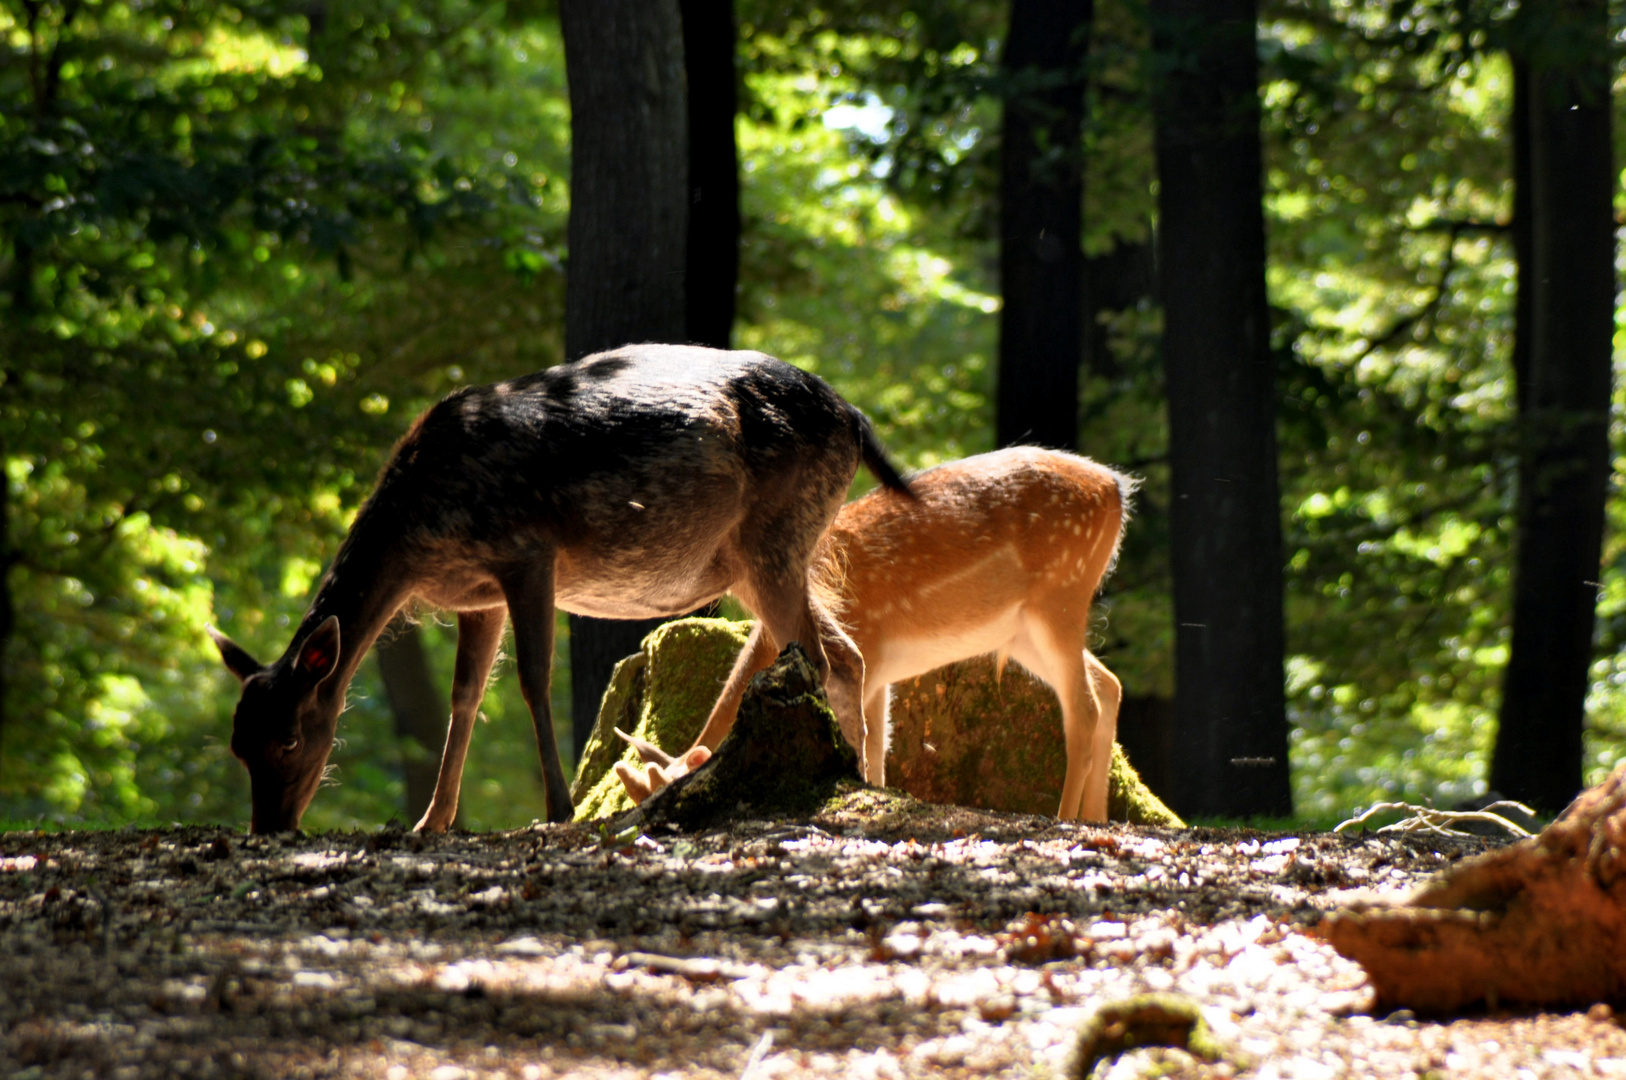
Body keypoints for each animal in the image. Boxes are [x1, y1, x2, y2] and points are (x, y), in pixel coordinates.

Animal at [209, 341, 910, 829]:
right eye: (237, 745)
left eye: (290, 738)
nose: (268, 828)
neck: (418, 539)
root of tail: (855, 418)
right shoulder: (479, 595)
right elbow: (466, 696)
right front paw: (430, 822)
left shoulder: (526, 552)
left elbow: (533, 679)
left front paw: (557, 808)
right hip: (771, 552)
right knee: (844, 653)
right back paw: (866, 777)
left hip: (777, 533)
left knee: (824, 657)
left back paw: (851, 774)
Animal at [614, 445, 1138, 819]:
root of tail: (1116, 489)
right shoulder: (882, 673)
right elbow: (880, 747)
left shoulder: (862, 649)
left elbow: (865, 744)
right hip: (1022, 631)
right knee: (1109, 684)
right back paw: (1099, 819)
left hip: (1061, 594)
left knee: (1084, 709)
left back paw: (1067, 818)